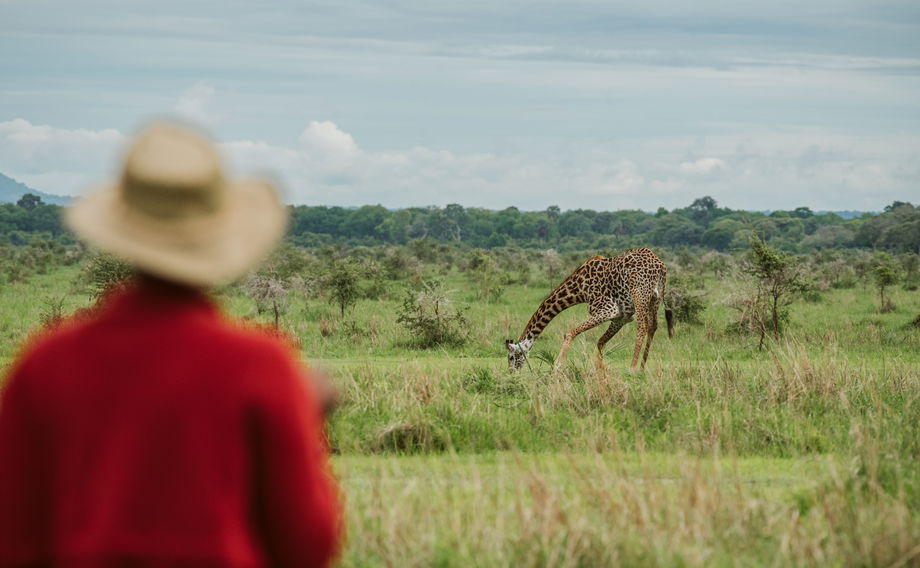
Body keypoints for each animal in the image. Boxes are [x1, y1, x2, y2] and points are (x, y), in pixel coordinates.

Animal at [504, 248, 676, 372]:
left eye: (511, 357)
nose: (511, 372)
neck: (579, 290)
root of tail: (661, 266)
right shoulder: (622, 317)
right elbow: (600, 342)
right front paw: (600, 369)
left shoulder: (609, 309)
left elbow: (570, 332)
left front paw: (557, 366)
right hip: (655, 298)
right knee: (652, 326)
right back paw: (641, 368)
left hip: (639, 294)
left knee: (642, 326)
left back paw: (632, 368)